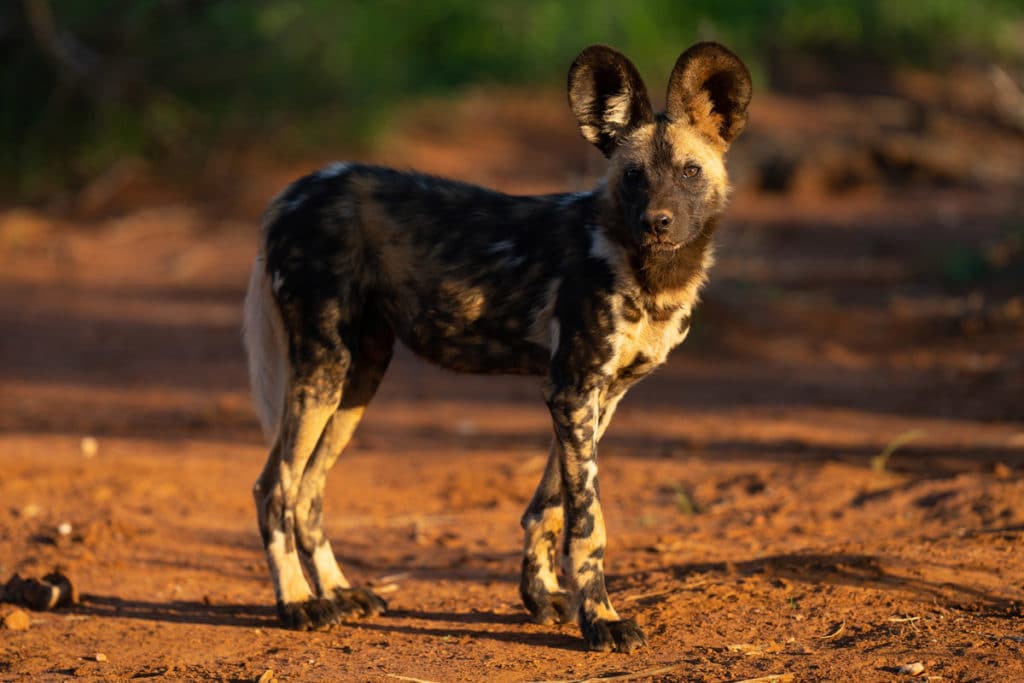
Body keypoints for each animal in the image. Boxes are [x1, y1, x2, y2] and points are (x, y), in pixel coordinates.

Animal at [242, 41, 749, 651]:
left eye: (690, 172)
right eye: (633, 176)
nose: (658, 222)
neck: (651, 275)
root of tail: (295, 191)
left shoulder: (597, 398)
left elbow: (549, 506)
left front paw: (541, 596)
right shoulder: (573, 391)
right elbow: (589, 523)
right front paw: (600, 620)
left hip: (357, 378)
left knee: (308, 490)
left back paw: (340, 592)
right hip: (323, 369)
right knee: (274, 489)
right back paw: (298, 603)